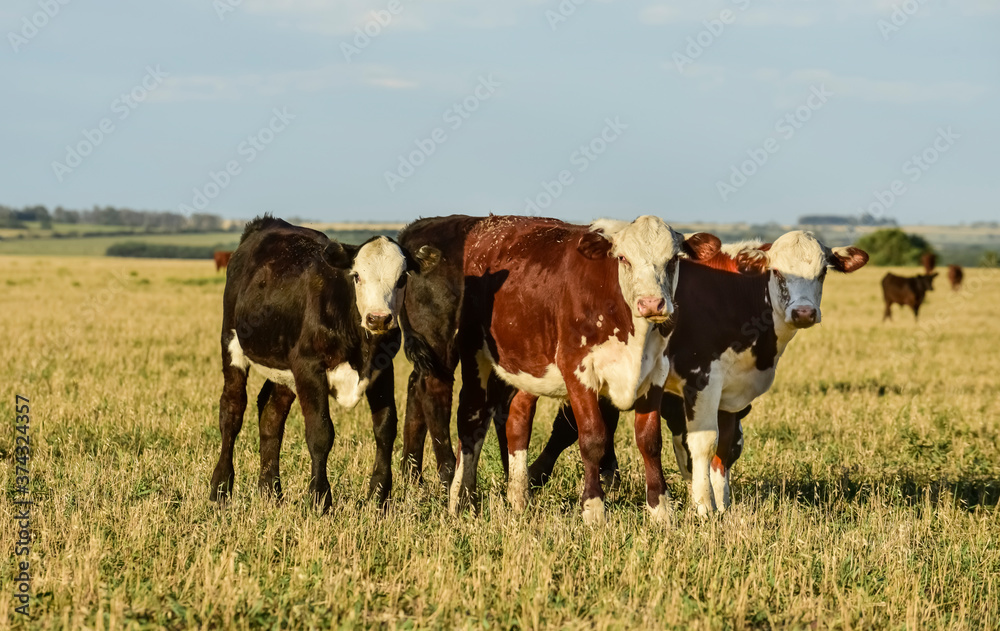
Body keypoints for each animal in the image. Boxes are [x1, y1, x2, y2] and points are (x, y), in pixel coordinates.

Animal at [209, 215, 440, 512]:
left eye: (402, 279)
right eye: (357, 276)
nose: (379, 318)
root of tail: (265, 223)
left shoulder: (382, 370)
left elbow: (386, 429)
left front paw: (379, 496)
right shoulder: (309, 369)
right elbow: (320, 433)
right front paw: (320, 498)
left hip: (285, 368)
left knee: (271, 414)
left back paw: (271, 491)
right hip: (232, 343)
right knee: (232, 411)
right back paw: (220, 488)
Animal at [446, 215, 720, 524]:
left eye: (673, 259)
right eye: (623, 258)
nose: (651, 303)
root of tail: (489, 225)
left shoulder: (655, 374)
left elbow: (649, 440)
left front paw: (660, 508)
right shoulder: (577, 370)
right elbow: (592, 438)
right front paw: (593, 508)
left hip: (530, 366)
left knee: (517, 420)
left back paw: (518, 498)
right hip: (474, 354)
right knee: (471, 419)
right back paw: (461, 499)